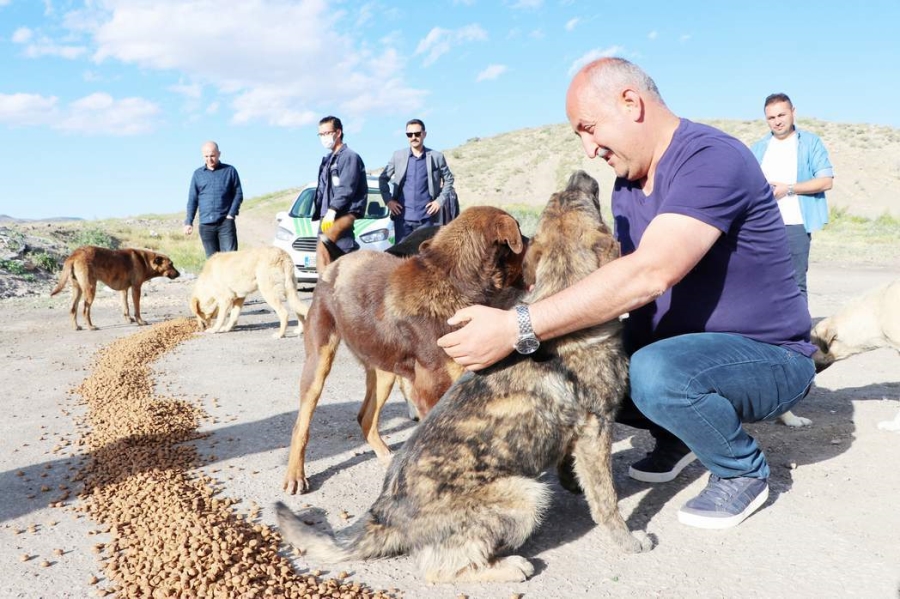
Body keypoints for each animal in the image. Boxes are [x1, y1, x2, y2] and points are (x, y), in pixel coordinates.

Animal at [51, 245, 182, 332]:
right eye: (171, 264)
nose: (179, 274)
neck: (145, 261)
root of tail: (74, 255)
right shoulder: (136, 288)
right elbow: (137, 308)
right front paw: (140, 321)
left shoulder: (124, 290)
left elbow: (126, 307)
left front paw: (128, 319)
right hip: (90, 289)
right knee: (85, 310)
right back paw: (91, 326)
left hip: (77, 289)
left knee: (73, 309)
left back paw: (76, 327)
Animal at [284, 206, 528, 496]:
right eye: (522, 236)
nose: (535, 241)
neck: (454, 282)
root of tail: (332, 266)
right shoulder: (429, 393)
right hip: (319, 362)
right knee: (301, 424)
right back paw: (295, 475)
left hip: (383, 370)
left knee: (365, 417)